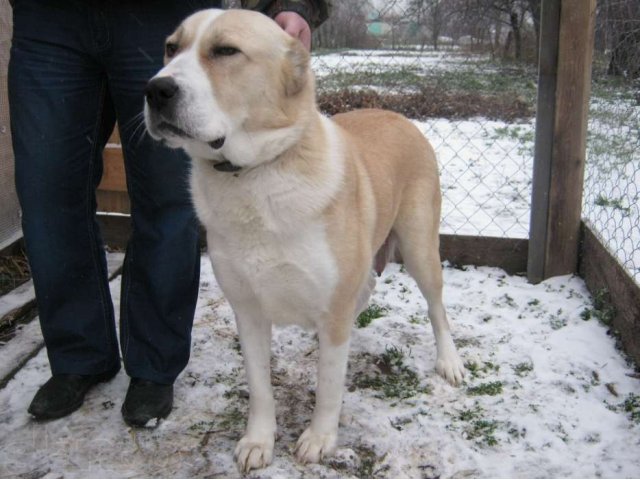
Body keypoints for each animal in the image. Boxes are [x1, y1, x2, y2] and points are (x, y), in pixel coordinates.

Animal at [144, 7, 464, 472]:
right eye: (171, 48)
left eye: (226, 51)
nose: (155, 90)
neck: (256, 174)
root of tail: (399, 115)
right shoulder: (248, 312)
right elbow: (260, 387)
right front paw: (258, 441)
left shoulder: (332, 312)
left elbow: (329, 387)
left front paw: (319, 439)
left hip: (421, 249)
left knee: (437, 308)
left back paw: (449, 361)